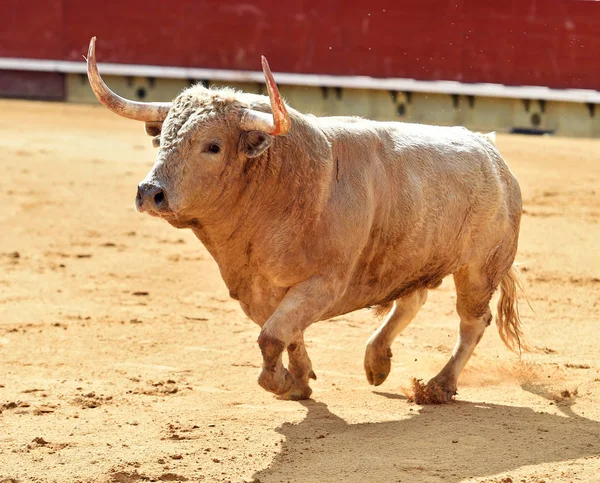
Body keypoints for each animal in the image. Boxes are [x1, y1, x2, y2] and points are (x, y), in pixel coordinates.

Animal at [86, 37, 524, 402]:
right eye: (162, 138)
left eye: (213, 146)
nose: (150, 192)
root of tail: (490, 149)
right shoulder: (259, 290)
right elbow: (287, 333)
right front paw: (299, 380)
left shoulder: (325, 283)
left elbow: (271, 336)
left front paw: (281, 382)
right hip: (412, 256)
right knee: (413, 298)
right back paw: (377, 362)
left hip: (479, 269)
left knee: (472, 322)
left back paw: (439, 385)